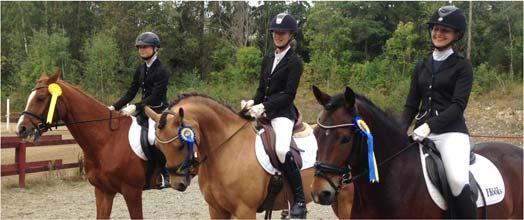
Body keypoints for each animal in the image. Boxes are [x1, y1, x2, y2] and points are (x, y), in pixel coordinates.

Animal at [145, 93, 354, 219]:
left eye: (180, 144)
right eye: (158, 146)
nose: (177, 183)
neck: (226, 150)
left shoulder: (245, 210)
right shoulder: (216, 209)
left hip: (347, 202)